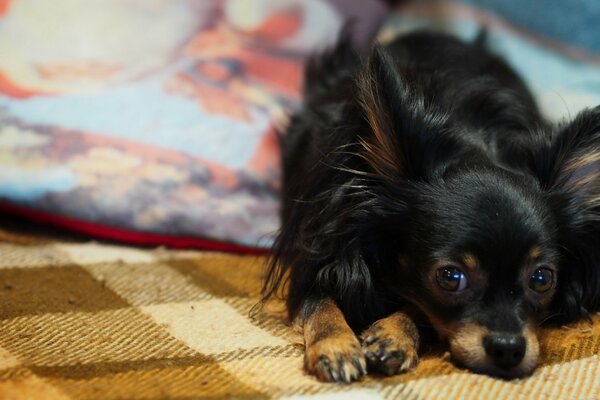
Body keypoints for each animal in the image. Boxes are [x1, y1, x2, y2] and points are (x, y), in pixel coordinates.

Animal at [262, 29, 600, 382]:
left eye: (542, 279)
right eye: (450, 278)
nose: (508, 348)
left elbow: (420, 307)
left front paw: (394, 334)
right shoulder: (317, 249)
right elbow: (320, 301)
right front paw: (335, 344)